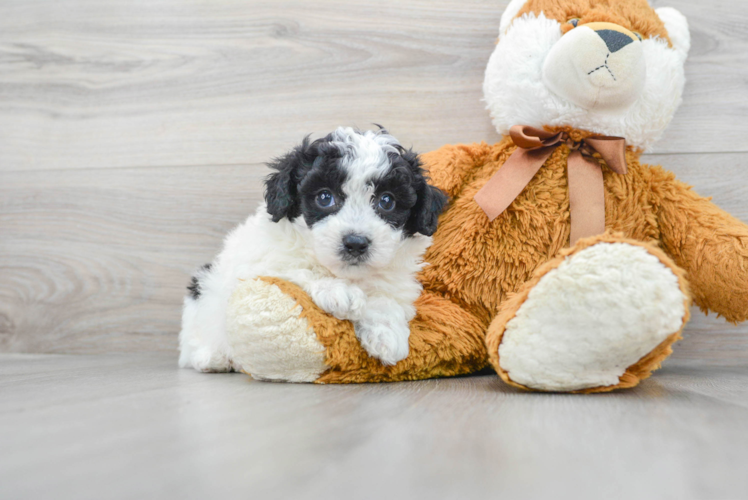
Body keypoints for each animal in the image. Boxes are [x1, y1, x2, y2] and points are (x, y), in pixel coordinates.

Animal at [178, 127, 448, 374]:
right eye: (324, 197)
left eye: (387, 201)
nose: (355, 243)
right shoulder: (259, 262)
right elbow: (296, 265)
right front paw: (339, 291)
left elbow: (385, 298)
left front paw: (387, 335)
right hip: (203, 296)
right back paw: (212, 358)